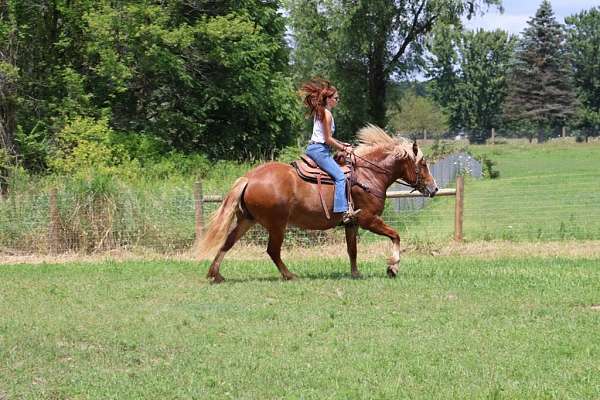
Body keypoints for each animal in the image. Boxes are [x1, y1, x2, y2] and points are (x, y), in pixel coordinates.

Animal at [197, 123, 436, 282]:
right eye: (423, 164)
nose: (434, 188)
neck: (368, 175)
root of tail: (249, 178)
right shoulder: (367, 219)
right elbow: (395, 235)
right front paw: (392, 267)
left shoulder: (351, 223)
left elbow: (352, 249)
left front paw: (355, 273)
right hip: (277, 225)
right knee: (272, 250)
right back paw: (289, 275)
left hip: (247, 220)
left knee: (228, 242)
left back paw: (215, 274)